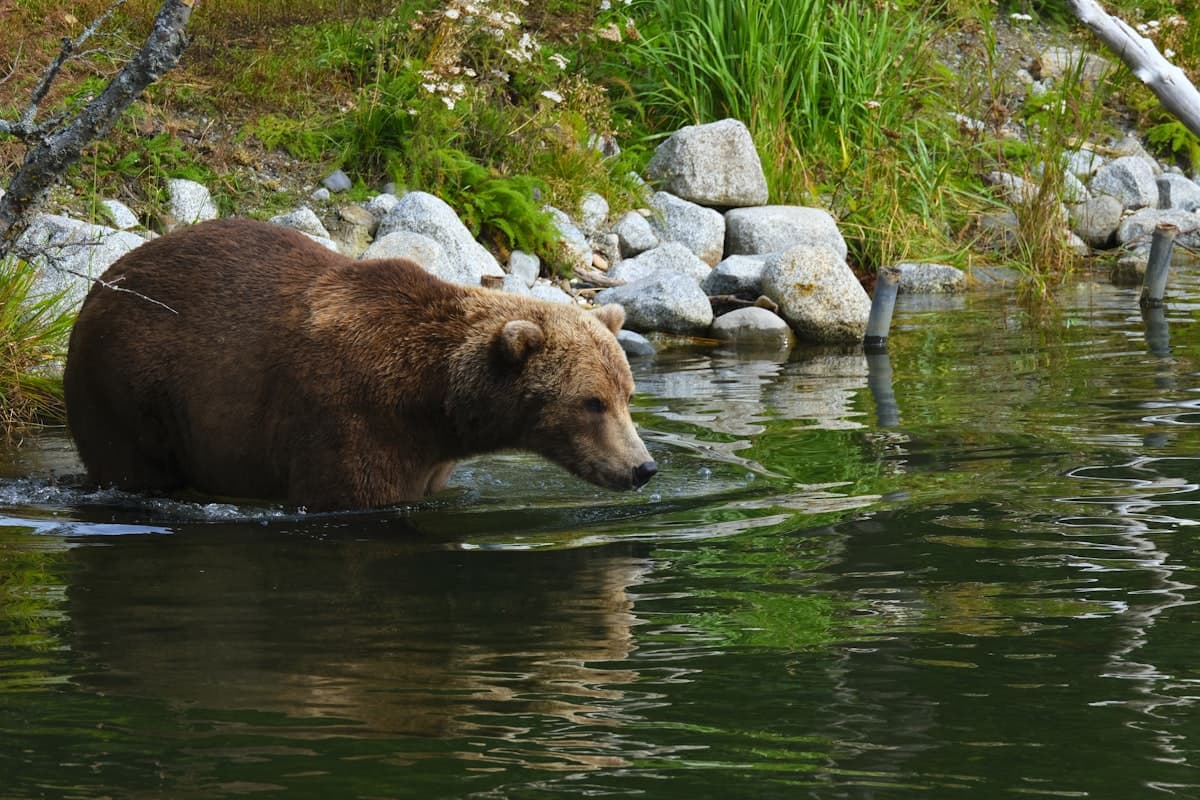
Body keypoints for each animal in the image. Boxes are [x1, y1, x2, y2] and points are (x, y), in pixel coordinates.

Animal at [63, 217, 657, 511]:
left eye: (626, 396)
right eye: (591, 402)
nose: (642, 467)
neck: (433, 401)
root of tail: (102, 284)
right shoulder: (354, 422)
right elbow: (348, 492)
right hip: (130, 385)